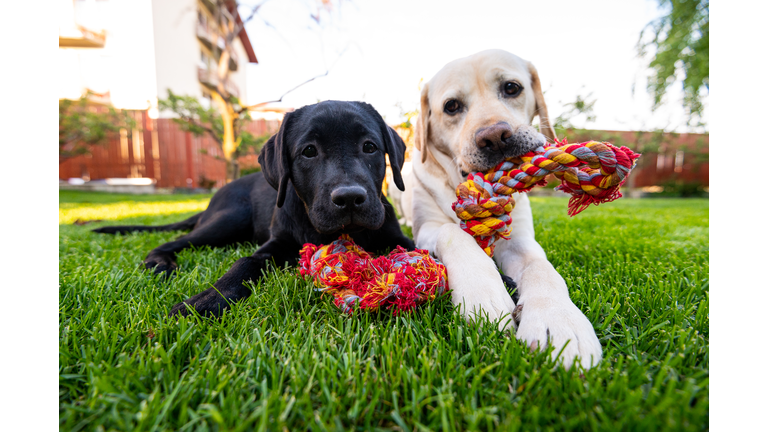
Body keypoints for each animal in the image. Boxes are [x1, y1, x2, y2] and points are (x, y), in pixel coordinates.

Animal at [94, 101, 416, 318]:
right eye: (309, 151)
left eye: (370, 147)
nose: (349, 198)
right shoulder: (276, 243)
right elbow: (245, 262)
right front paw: (207, 299)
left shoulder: (396, 236)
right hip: (229, 219)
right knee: (173, 242)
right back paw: (160, 263)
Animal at [400, 49, 604, 368]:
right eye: (451, 106)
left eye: (511, 88)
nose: (494, 137)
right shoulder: (427, 228)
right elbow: (452, 232)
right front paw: (483, 297)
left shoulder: (519, 239)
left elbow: (541, 268)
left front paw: (560, 322)